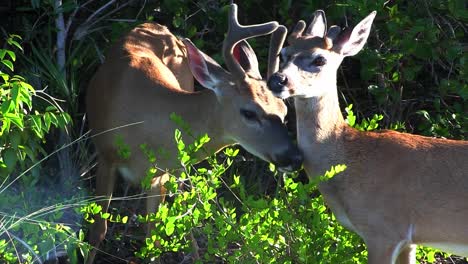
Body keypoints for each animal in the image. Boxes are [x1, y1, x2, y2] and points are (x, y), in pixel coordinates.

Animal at [85, 3, 304, 262]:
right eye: (249, 112)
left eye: (283, 111)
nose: (295, 157)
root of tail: (155, 24)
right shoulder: (105, 155)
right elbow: (98, 231)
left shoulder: (159, 174)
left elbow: (153, 236)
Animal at [266, 9, 468, 262]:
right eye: (283, 54)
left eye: (319, 59)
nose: (277, 80)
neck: (351, 158)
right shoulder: (409, 241)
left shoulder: (384, 228)